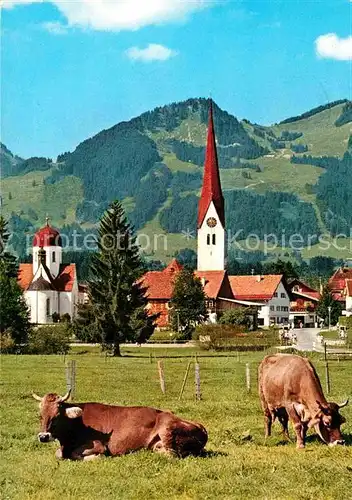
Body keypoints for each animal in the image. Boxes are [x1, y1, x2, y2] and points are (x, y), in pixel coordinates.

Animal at [32, 390, 208, 460]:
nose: (43, 436)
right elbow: (58, 454)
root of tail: (201, 427)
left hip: (167, 428)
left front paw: (95, 457)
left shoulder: (99, 445)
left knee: (172, 454)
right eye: (40, 415)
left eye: (57, 416)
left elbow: (78, 455)